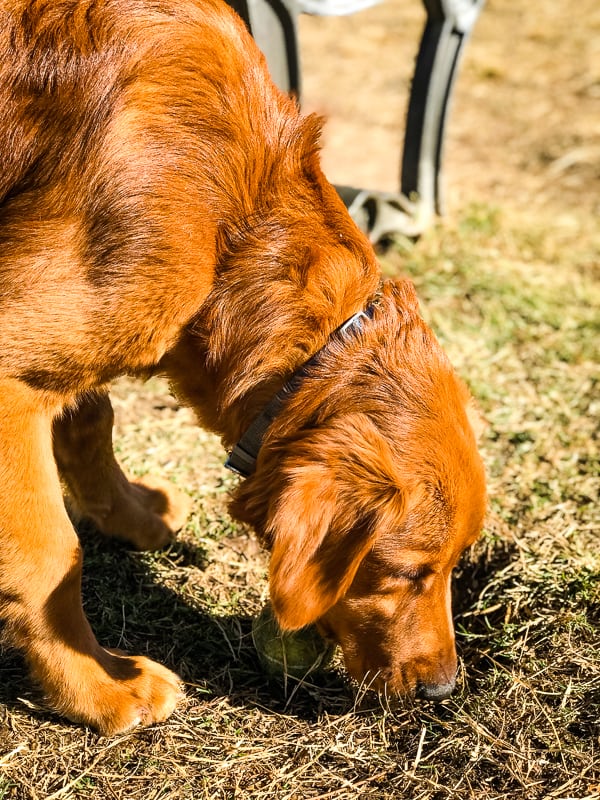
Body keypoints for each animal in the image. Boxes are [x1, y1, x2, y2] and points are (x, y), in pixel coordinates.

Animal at [0, 0, 488, 736]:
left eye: (458, 565)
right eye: (408, 572)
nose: (443, 689)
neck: (235, 223)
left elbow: (91, 415)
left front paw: (131, 513)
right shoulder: (11, 363)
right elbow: (51, 554)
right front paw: (98, 686)